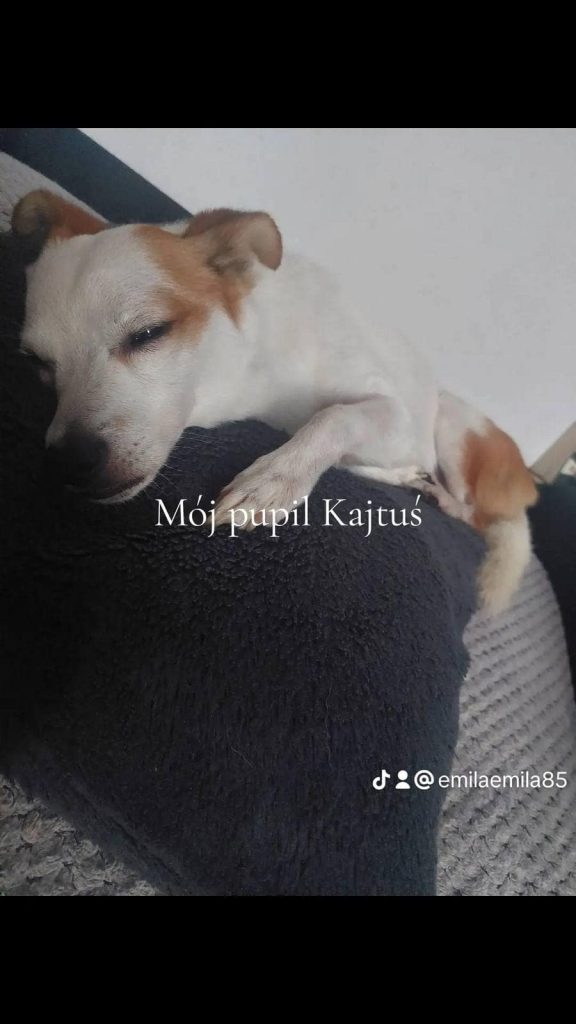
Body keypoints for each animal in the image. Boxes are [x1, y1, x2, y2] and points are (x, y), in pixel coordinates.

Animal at [11, 189, 538, 613]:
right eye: (38, 364)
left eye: (148, 333)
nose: (69, 462)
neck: (254, 379)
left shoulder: (396, 416)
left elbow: (333, 418)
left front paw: (274, 480)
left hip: (453, 426)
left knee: (473, 512)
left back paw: (438, 493)